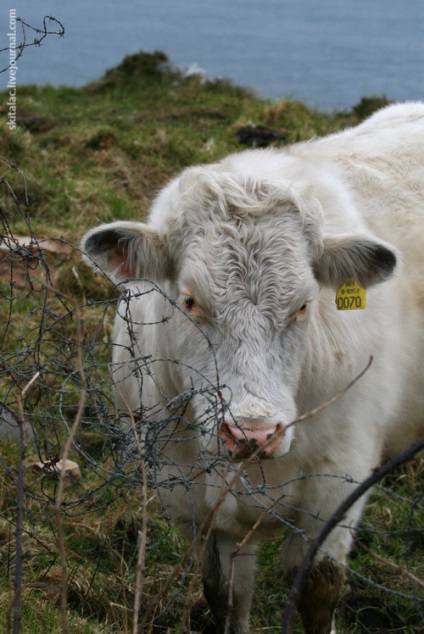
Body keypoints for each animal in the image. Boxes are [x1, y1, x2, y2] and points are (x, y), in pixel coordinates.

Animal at [82, 103, 424, 632]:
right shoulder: (189, 500)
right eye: (189, 300)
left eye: (304, 305)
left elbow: (317, 591)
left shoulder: (336, 490)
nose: (252, 433)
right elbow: (225, 595)